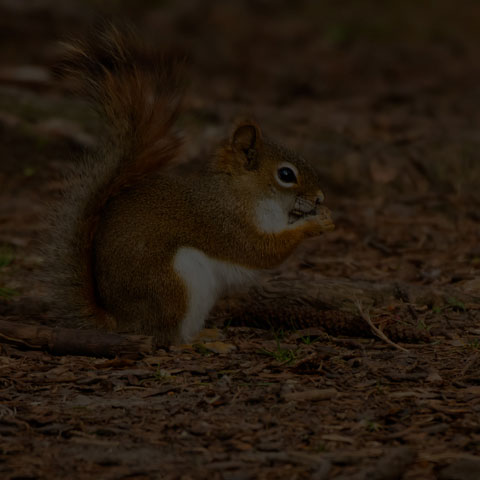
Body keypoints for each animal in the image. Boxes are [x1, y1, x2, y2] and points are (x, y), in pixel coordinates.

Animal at [45, 25, 336, 344]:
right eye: (285, 175)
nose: (320, 198)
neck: (246, 193)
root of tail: (120, 320)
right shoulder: (224, 222)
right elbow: (261, 250)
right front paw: (314, 225)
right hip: (173, 286)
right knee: (167, 337)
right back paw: (198, 342)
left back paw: (208, 333)